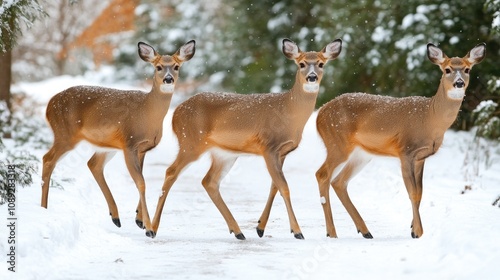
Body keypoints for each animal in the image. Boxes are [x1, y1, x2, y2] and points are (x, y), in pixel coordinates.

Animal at [41, 40, 195, 236]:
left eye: (176, 66)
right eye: (158, 67)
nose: (168, 79)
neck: (147, 113)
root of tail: (49, 105)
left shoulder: (142, 148)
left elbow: (141, 179)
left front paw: (139, 219)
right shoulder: (129, 143)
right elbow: (141, 182)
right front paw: (148, 228)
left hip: (106, 144)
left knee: (93, 164)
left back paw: (115, 216)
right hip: (65, 134)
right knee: (48, 159)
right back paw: (44, 208)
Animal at [150, 38, 342, 240]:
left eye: (321, 64)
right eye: (302, 64)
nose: (312, 77)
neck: (288, 111)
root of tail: (176, 113)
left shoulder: (282, 152)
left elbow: (274, 186)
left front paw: (260, 228)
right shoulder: (268, 146)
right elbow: (284, 187)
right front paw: (297, 231)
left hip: (223, 154)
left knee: (209, 181)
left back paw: (238, 231)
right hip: (190, 142)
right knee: (171, 171)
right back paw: (151, 228)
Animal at [316, 42, 484, 240]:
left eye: (467, 69)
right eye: (447, 69)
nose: (459, 83)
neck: (430, 117)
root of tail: (319, 114)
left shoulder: (421, 157)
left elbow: (420, 192)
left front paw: (412, 228)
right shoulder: (405, 151)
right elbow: (412, 192)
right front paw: (418, 232)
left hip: (361, 154)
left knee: (339, 181)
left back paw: (365, 231)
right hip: (337, 143)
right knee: (322, 175)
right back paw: (331, 233)